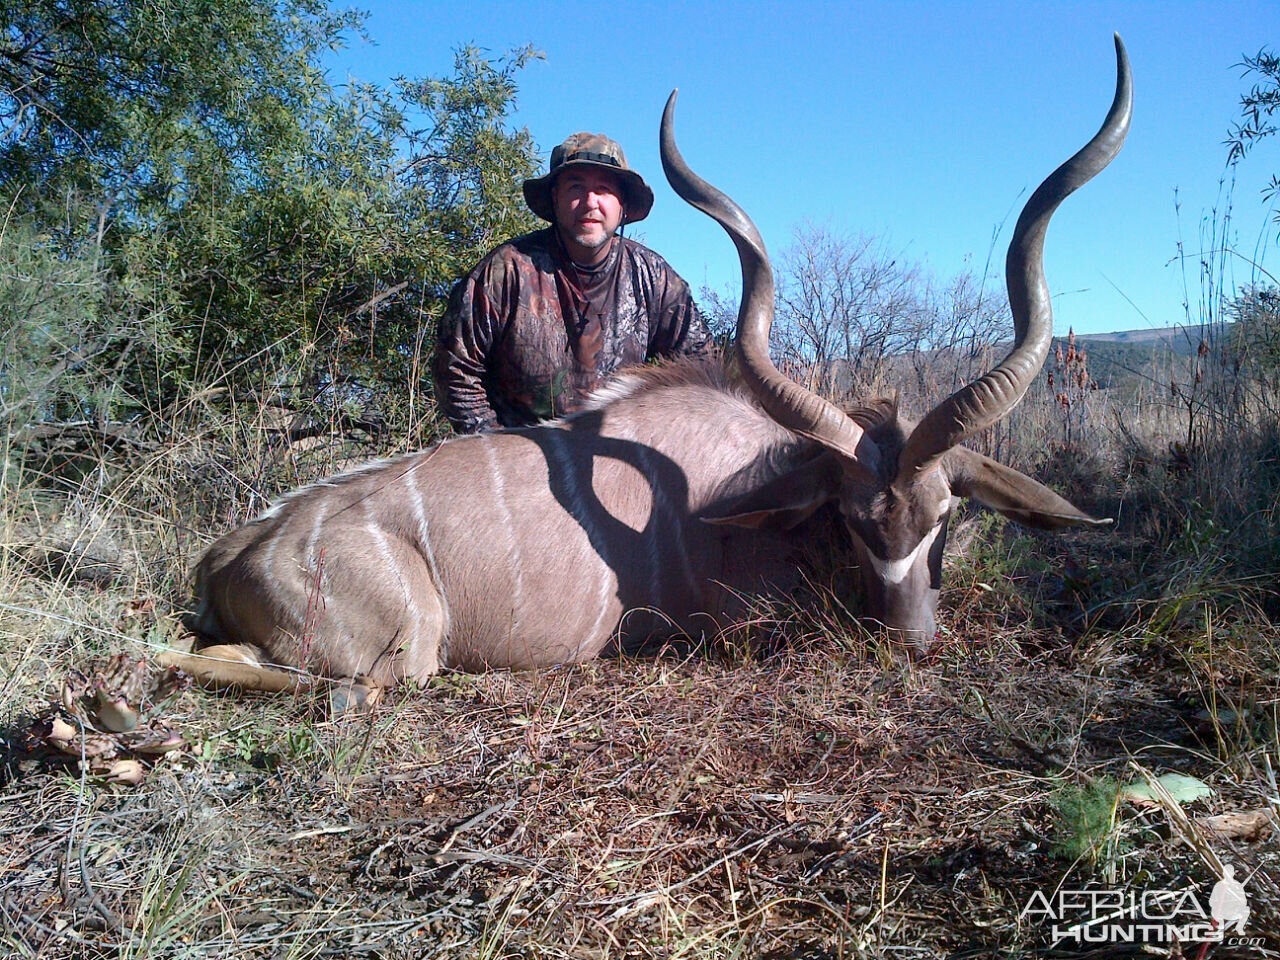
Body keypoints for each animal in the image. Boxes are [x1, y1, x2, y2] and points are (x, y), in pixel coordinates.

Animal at [167, 39, 1131, 701]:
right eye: (854, 521)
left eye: (944, 516)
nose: (912, 640)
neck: (751, 483)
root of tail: (232, 551)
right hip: (403, 649)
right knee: (247, 668)